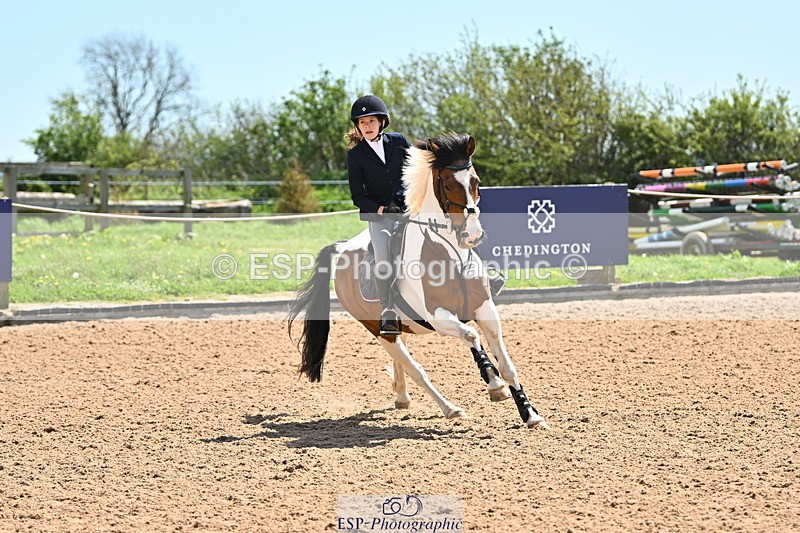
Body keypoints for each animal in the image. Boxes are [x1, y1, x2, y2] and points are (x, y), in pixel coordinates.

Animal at [287, 133, 549, 429]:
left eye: (476, 181)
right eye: (447, 184)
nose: (472, 235)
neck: (450, 255)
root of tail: (342, 247)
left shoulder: (486, 310)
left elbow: (507, 365)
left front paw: (531, 414)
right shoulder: (438, 316)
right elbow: (471, 336)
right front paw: (494, 384)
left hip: (398, 326)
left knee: (402, 359)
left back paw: (402, 396)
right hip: (378, 330)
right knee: (415, 369)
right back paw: (450, 409)